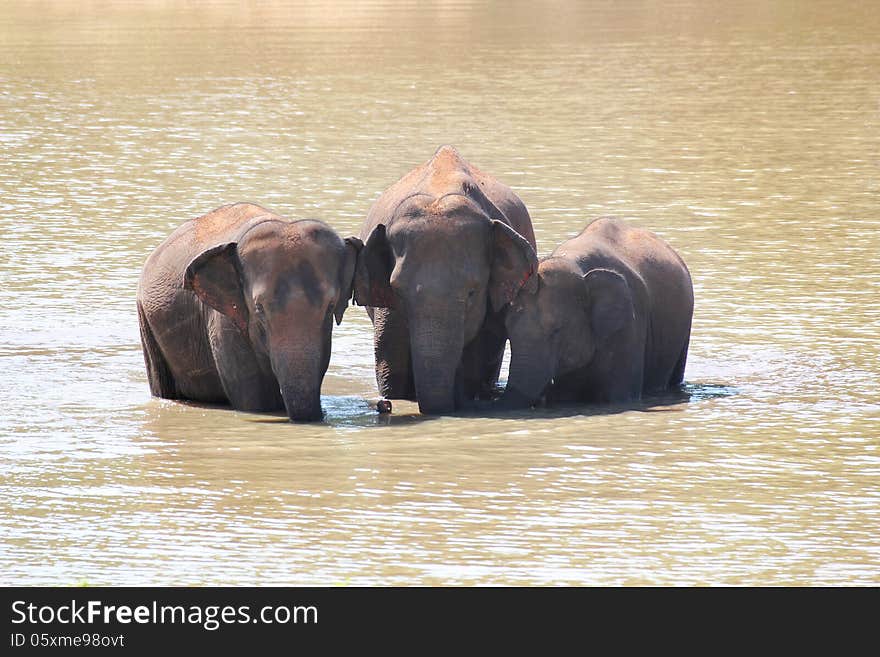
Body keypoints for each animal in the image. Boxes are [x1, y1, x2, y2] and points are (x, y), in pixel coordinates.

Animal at [135, 201, 360, 420]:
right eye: (259, 308)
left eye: (330, 306)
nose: (322, 415)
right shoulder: (224, 320)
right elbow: (256, 398)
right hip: (145, 319)